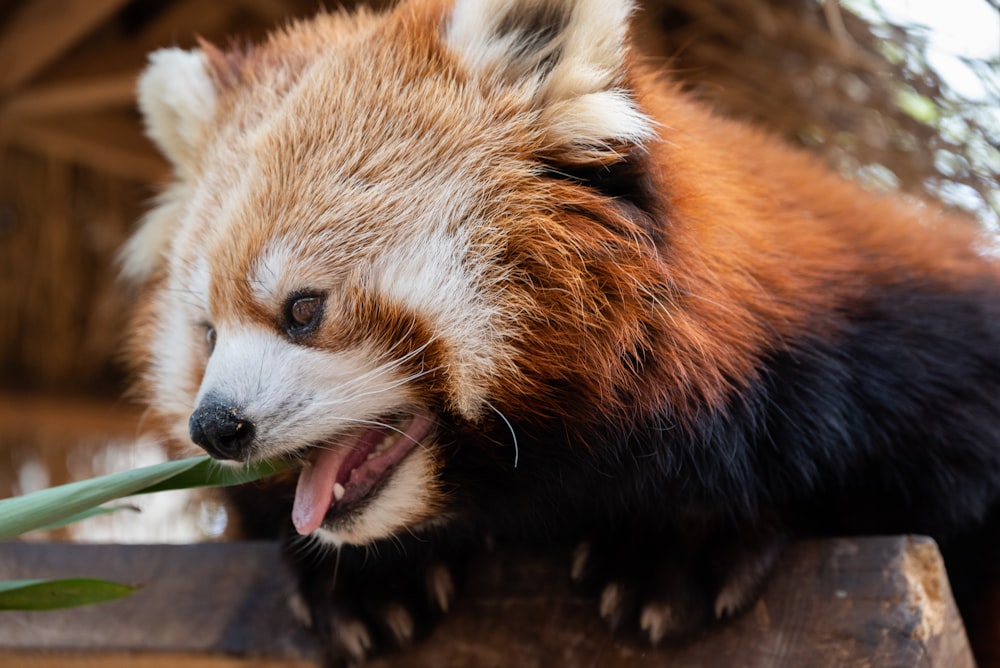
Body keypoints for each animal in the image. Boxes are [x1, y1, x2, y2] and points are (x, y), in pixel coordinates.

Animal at [123, 0, 1000, 660]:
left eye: (304, 309)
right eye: (206, 333)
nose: (217, 425)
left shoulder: (906, 355)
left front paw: (678, 546)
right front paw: (368, 583)